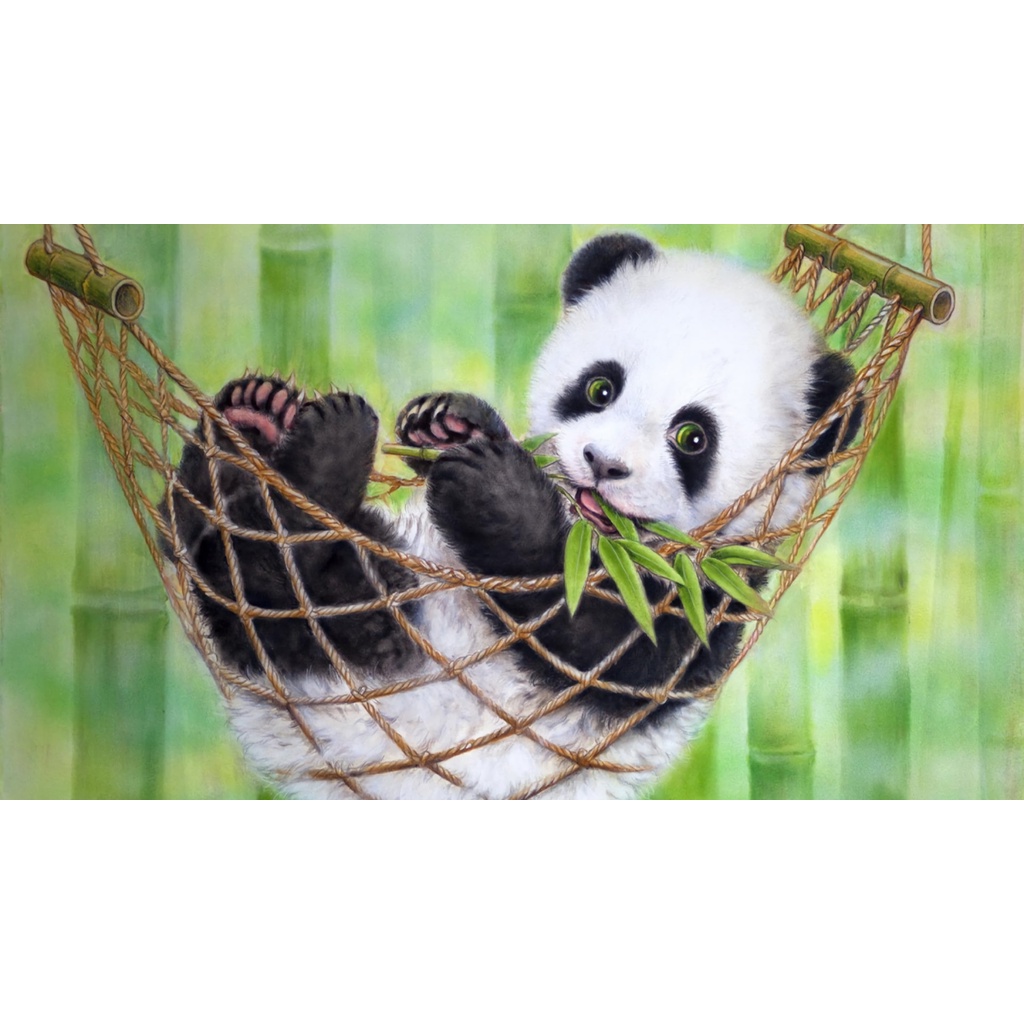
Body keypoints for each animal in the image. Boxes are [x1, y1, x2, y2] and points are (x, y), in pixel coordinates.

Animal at [169, 233, 857, 799]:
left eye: (692, 437)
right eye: (600, 388)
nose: (603, 465)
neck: (595, 538)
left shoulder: (705, 600)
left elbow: (594, 644)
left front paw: (494, 493)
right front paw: (450, 422)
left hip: (375, 647)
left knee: (287, 586)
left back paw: (318, 459)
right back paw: (252, 422)